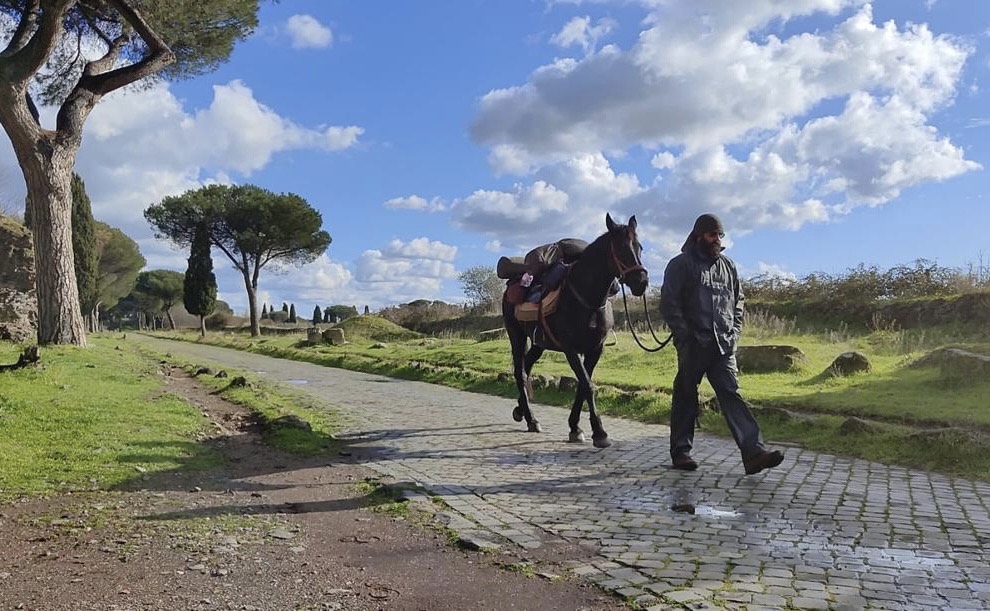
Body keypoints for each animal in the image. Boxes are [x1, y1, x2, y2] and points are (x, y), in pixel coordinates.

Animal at [504, 215, 652, 450]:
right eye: (620, 248)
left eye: (639, 247)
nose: (642, 282)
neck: (586, 299)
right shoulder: (571, 349)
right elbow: (588, 385)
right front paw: (600, 432)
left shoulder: (595, 349)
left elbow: (583, 385)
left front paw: (575, 427)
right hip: (516, 335)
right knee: (521, 372)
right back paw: (532, 419)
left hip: (538, 343)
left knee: (527, 367)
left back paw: (521, 411)